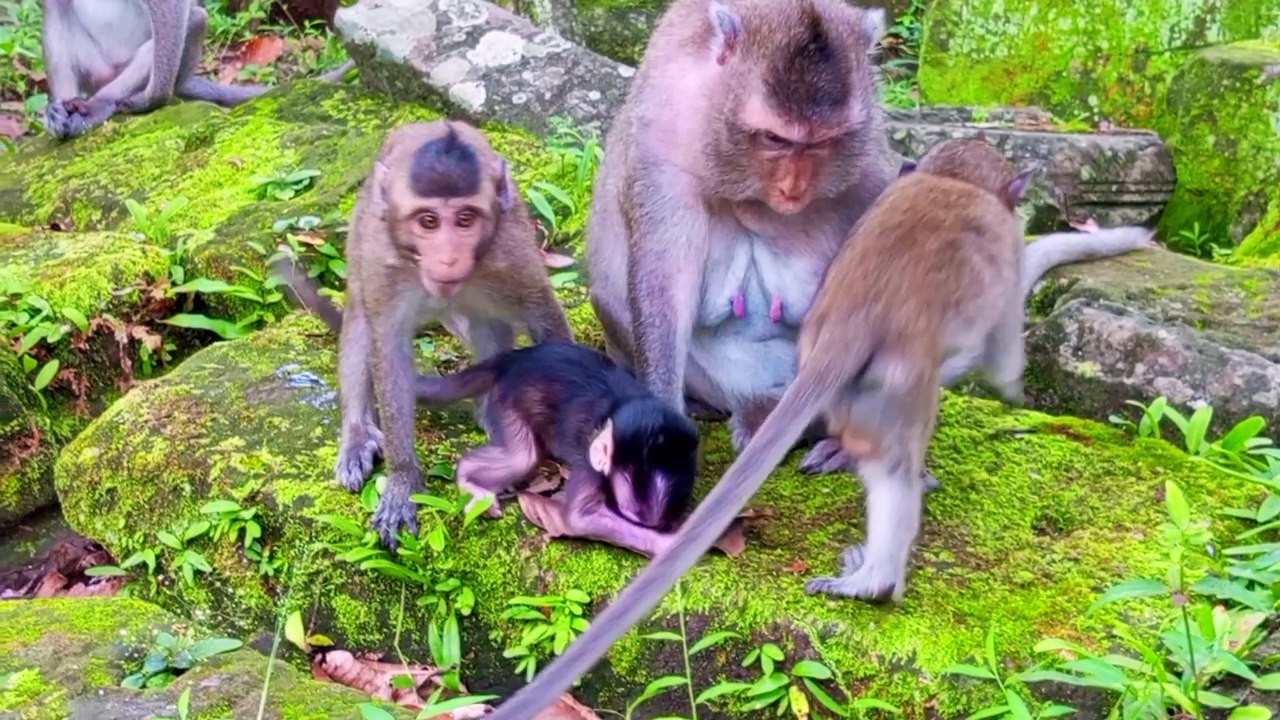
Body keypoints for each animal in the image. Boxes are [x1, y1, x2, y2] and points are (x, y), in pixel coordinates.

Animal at [41, 0, 355, 140]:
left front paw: (149, 100)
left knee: (194, 19)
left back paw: (101, 104)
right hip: (95, 66)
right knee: (55, 6)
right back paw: (63, 108)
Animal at [272, 120, 574, 548]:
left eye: (465, 219)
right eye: (428, 221)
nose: (448, 258)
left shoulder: (512, 256)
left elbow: (545, 321)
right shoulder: (383, 261)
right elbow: (388, 351)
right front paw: (402, 481)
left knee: (487, 321)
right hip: (363, 227)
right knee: (361, 320)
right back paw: (357, 432)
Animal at [413, 339, 703, 557]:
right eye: (631, 518)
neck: (618, 409)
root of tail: (514, 359)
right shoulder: (588, 462)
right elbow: (579, 517)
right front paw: (671, 545)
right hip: (507, 401)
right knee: (522, 458)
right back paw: (466, 477)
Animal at [480, 137, 1157, 719]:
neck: (953, 179)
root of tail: (846, 331)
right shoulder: (1005, 256)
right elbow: (1002, 361)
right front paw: (1014, 383)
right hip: (893, 393)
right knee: (898, 466)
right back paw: (879, 573)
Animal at [583, 0, 1157, 485]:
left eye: (823, 142)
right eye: (775, 139)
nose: (794, 187)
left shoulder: (865, 157)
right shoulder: (666, 145)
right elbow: (663, 284)